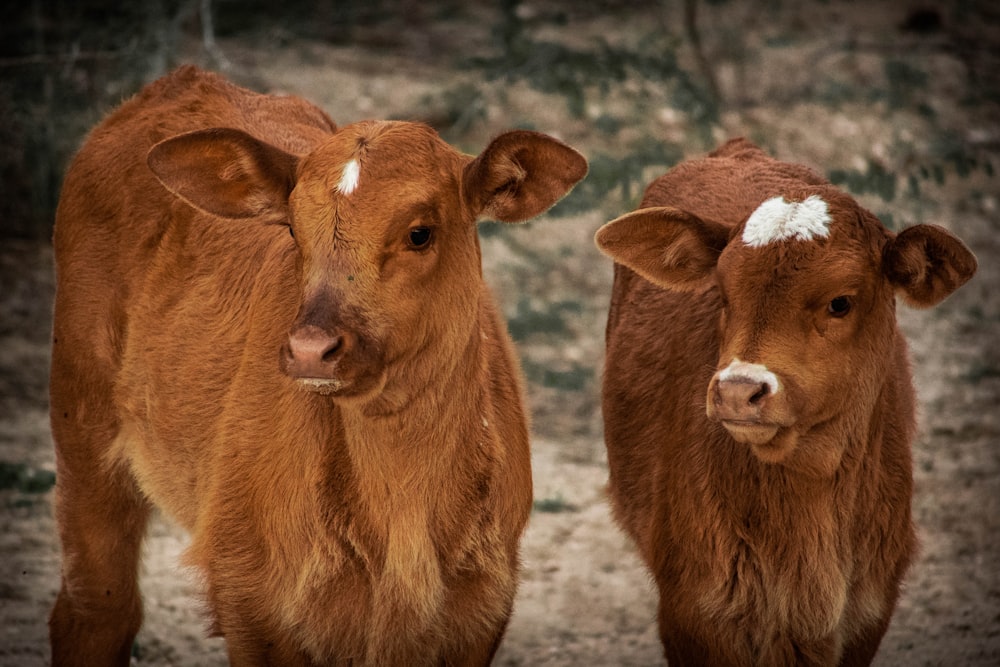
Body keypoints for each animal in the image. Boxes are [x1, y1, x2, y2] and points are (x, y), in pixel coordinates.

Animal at [50, 64, 588, 667]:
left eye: (420, 232)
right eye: (292, 229)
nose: (311, 348)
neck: (402, 513)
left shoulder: (483, 603)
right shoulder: (249, 594)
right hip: (82, 422)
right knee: (99, 609)